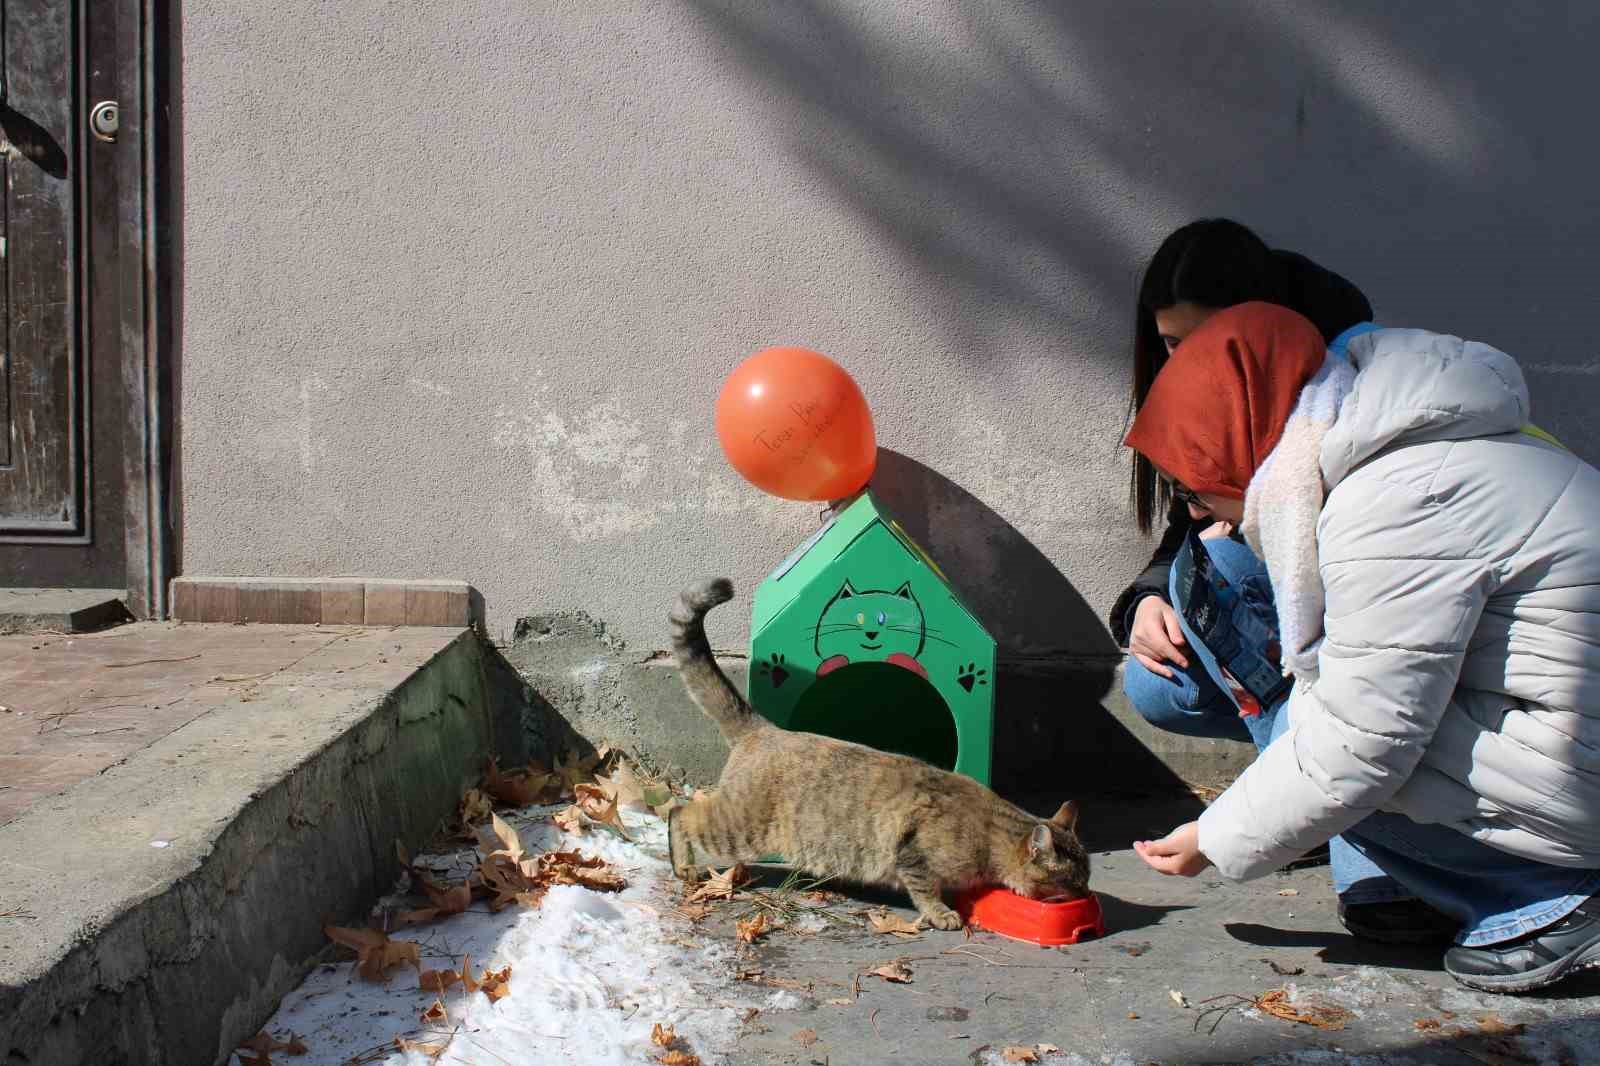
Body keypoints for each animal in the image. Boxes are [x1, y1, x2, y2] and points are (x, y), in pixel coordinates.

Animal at [662, 576, 1088, 928]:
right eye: (1073, 880)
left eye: (1086, 876)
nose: (1085, 894)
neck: (991, 830)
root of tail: (762, 727)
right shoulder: (914, 855)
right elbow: (926, 890)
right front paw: (943, 914)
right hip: (739, 827)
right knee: (679, 813)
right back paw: (684, 867)